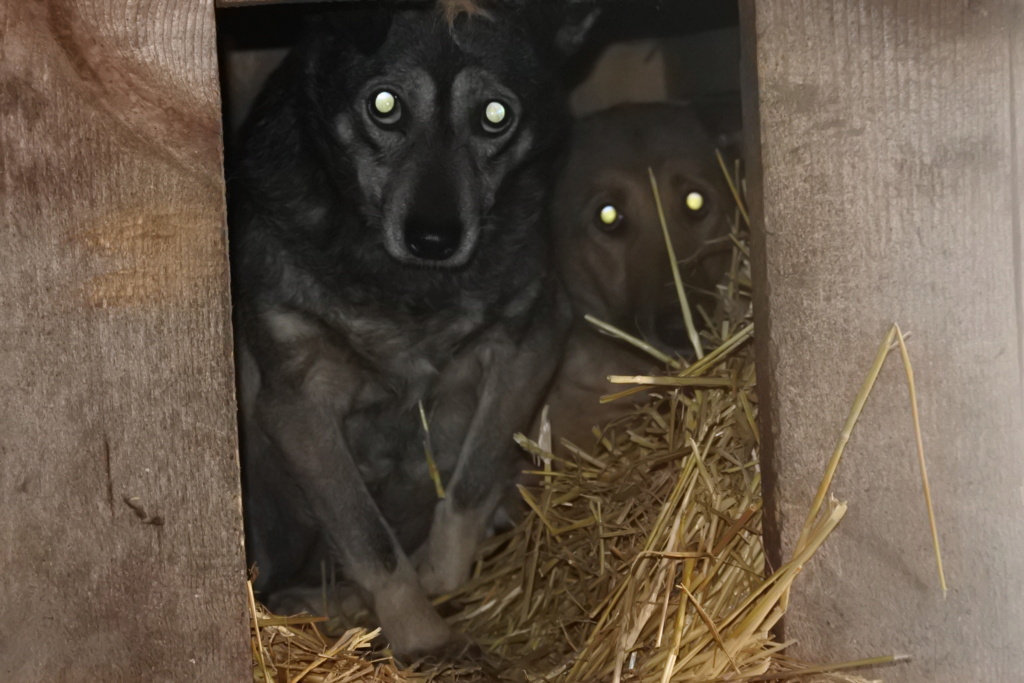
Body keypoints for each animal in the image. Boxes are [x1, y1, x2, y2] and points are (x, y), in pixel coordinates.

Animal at [230, 2, 585, 659]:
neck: (408, 287)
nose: (433, 238)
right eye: (385, 105)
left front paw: (437, 576)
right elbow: (371, 543)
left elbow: (470, 483)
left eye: (495, 116)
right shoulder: (297, 407)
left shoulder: (532, 339)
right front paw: (422, 639)